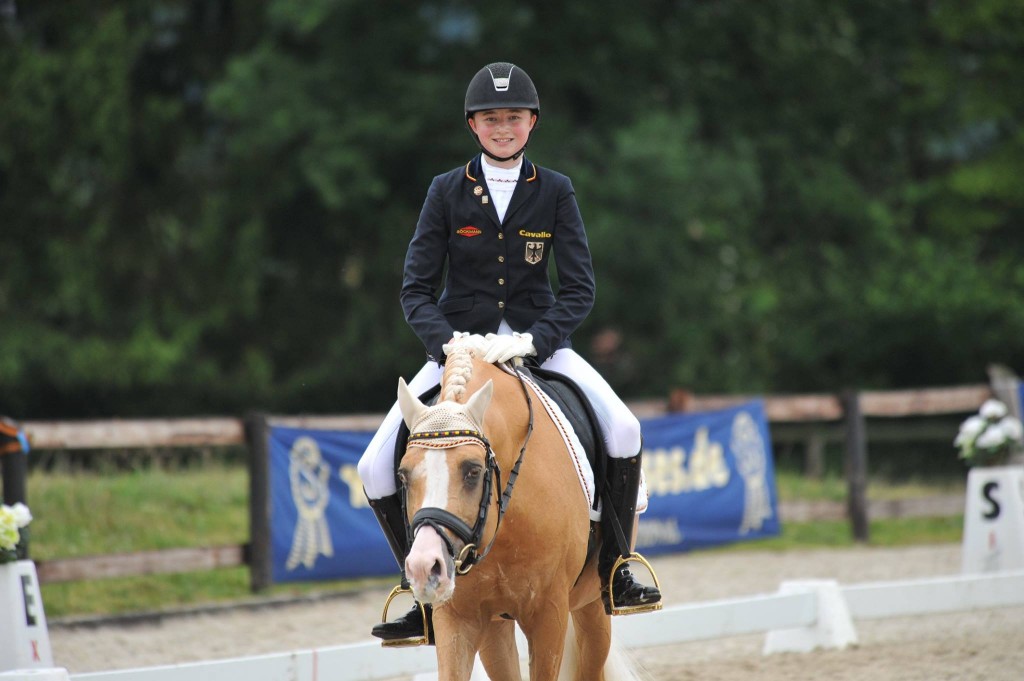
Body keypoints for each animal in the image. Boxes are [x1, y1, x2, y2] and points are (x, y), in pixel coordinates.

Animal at [395, 346, 643, 679]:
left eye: (473, 471)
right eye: (403, 475)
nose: (424, 569)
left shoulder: (549, 615)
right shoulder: (456, 616)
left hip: (590, 604)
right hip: (495, 625)